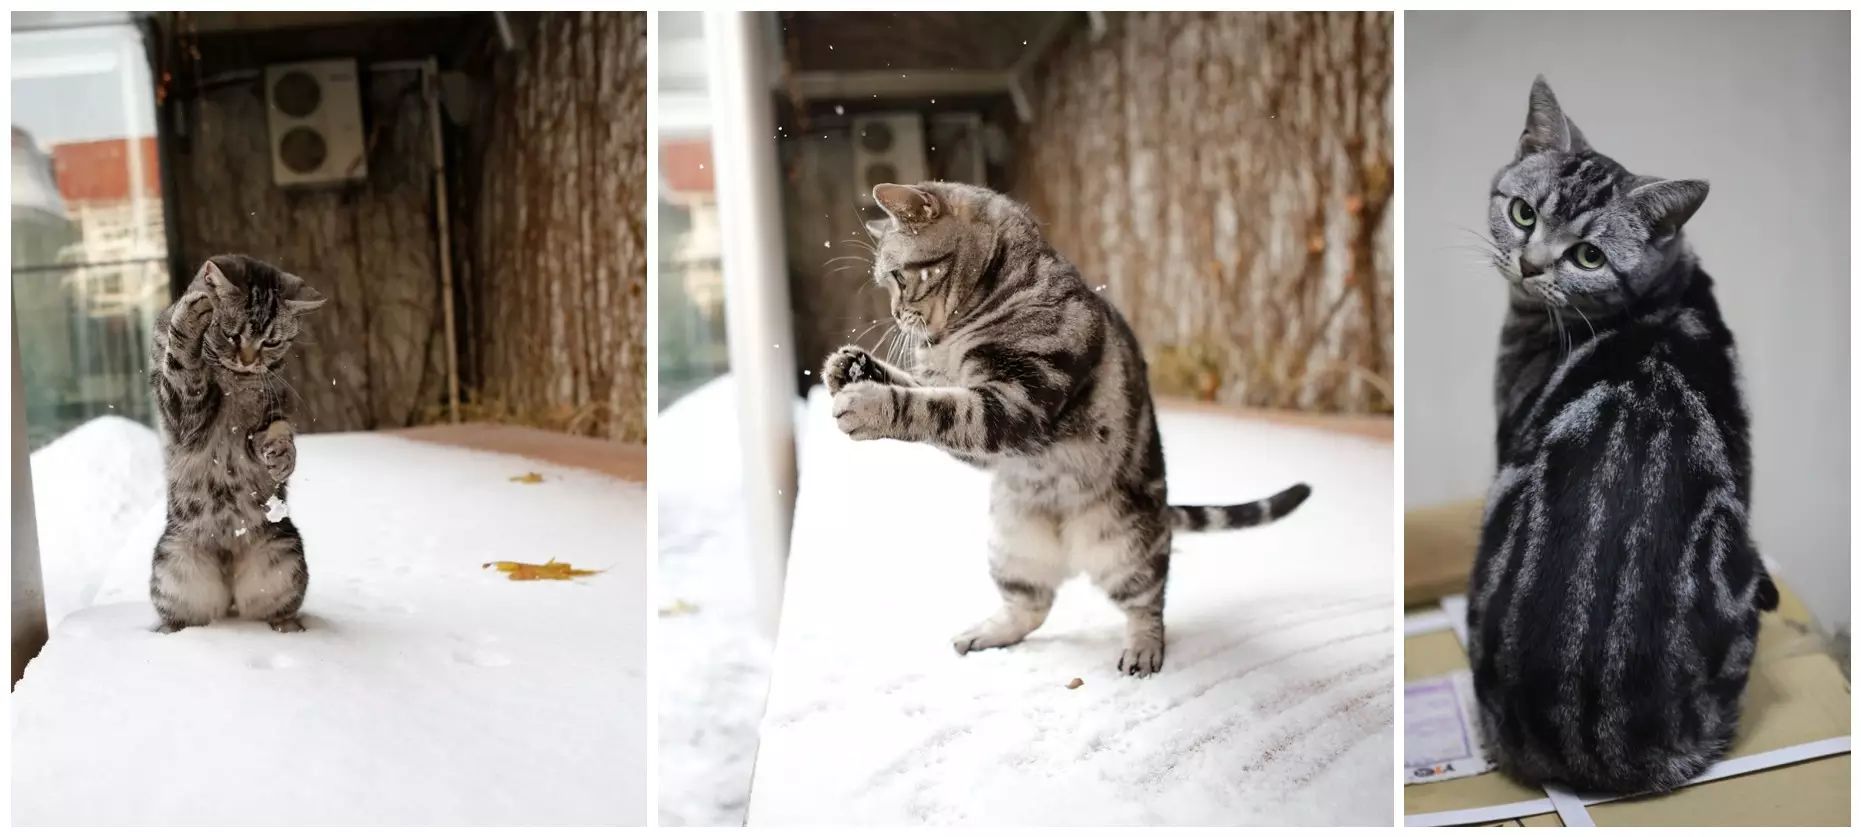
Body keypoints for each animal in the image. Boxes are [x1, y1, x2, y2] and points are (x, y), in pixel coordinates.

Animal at [148, 254, 323, 636]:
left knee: (277, 609)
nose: (247, 359)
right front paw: (190, 314)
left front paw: (282, 457)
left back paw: (290, 629)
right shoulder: (182, 414)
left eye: (271, 343)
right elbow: (183, 369)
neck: (235, 382)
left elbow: (279, 431)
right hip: (172, 567)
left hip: (284, 557)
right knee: (179, 616)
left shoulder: (273, 407)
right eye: (232, 334)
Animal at [822, 181, 1317, 673]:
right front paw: (851, 366)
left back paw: (1143, 649)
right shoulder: (970, 411)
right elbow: (921, 388)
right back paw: (985, 634)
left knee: (1148, 602)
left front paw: (868, 404)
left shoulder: (1014, 404)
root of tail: (1069, 551)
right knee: (1031, 606)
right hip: (1011, 549)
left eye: (898, 277)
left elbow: (934, 409)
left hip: (1127, 549)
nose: (894, 313)